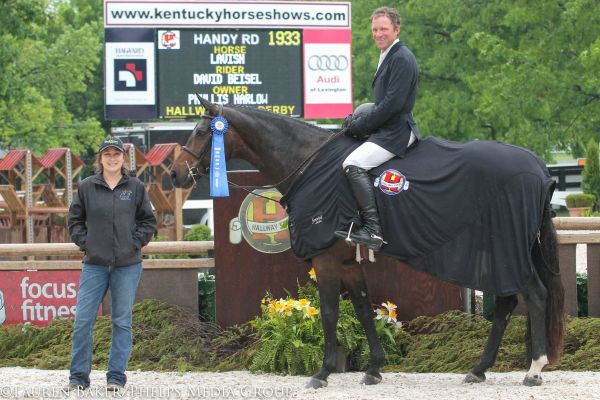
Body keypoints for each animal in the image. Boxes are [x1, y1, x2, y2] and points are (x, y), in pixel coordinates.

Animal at [169, 98, 564, 390]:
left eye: (203, 131)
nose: (175, 174)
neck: (311, 164)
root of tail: (536, 164)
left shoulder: (326, 260)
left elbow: (329, 312)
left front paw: (323, 373)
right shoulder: (347, 262)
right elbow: (361, 308)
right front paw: (373, 368)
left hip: (505, 250)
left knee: (534, 294)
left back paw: (534, 369)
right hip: (497, 252)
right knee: (508, 302)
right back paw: (479, 369)